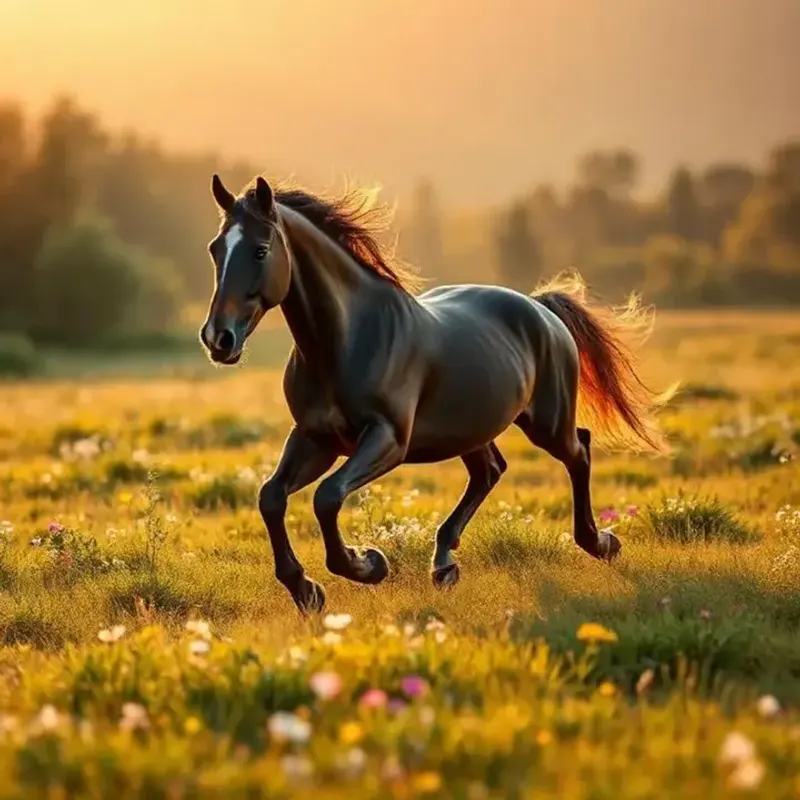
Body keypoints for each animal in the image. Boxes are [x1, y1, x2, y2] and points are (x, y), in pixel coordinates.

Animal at [199, 173, 671, 613]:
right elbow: (271, 498)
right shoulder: (316, 438)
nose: (218, 338)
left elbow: (327, 497)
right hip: (472, 428)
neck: (346, 341)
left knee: (579, 452)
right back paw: (444, 564)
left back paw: (600, 543)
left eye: (261, 250)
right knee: (490, 471)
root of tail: (541, 307)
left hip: (547, 423)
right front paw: (306, 590)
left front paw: (368, 564)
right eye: (216, 249)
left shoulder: (388, 439)